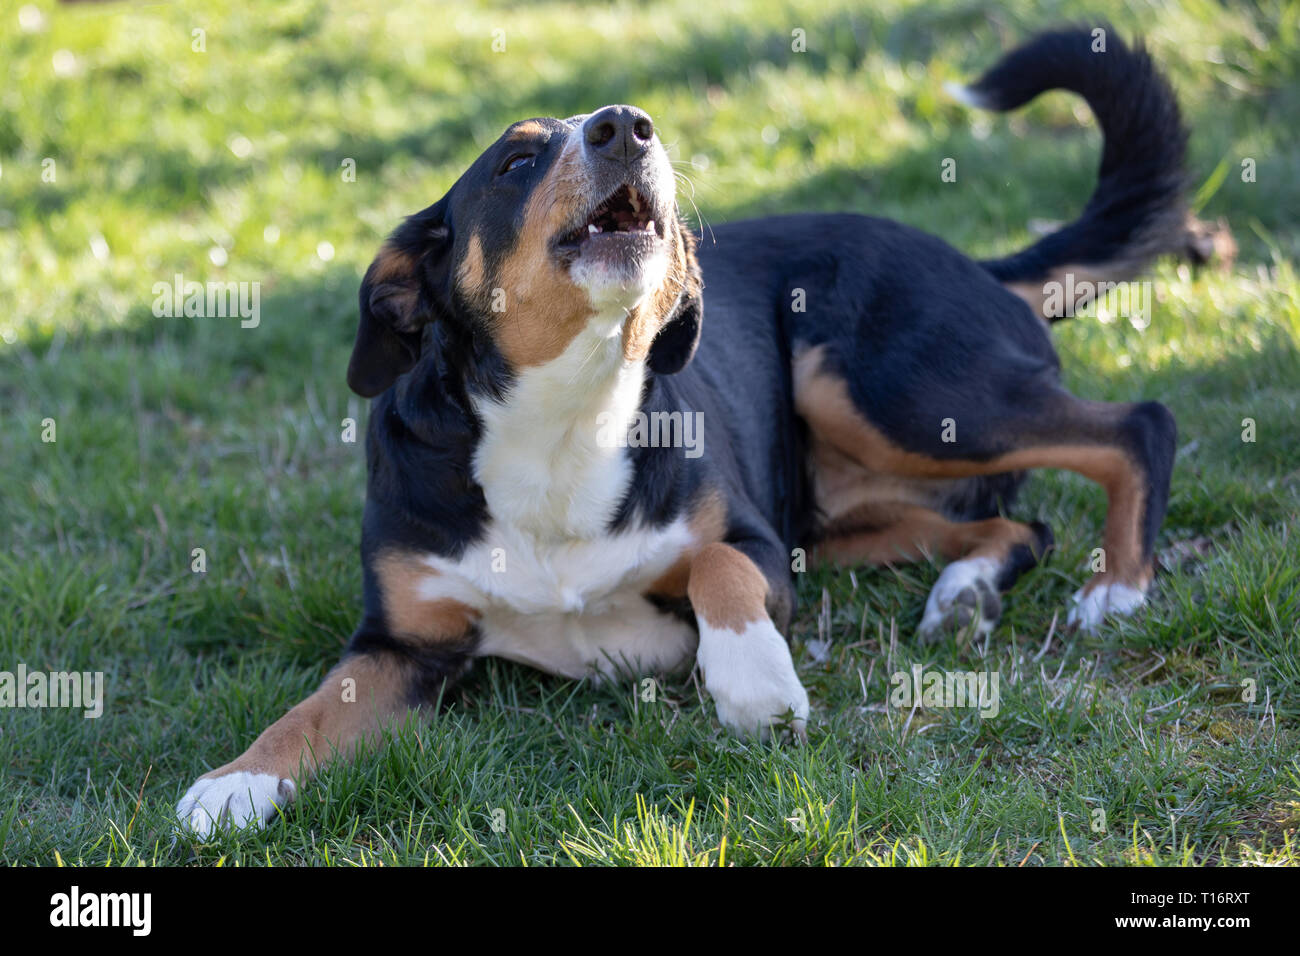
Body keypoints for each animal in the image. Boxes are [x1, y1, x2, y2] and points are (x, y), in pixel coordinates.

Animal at [180, 27, 1190, 837]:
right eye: (513, 163)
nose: (626, 125)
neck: (567, 418)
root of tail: (975, 263)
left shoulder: (757, 546)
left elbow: (717, 566)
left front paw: (754, 680)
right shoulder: (401, 641)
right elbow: (313, 709)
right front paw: (237, 784)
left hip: (886, 388)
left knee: (1138, 424)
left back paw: (1118, 586)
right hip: (844, 514)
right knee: (1017, 525)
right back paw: (965, 593)